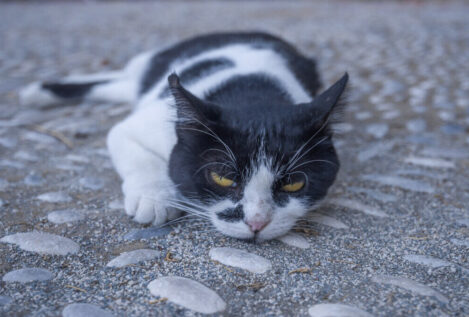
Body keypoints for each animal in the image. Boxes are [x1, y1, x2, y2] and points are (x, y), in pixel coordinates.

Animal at [20, 31, 346, 239]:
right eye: (222, 178)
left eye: (294, 183)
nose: (256, 223)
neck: (252, 93)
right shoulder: (136, 127)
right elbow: (130, 145)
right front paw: (153, 199)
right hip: (150, 61)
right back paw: (36, 93)